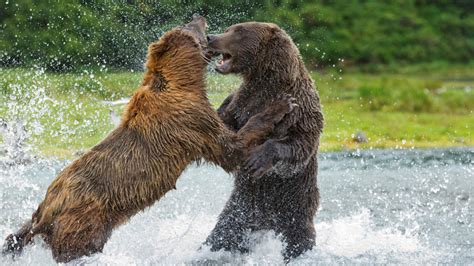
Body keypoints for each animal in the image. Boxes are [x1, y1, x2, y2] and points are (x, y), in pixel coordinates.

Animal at [2, 16, 292, 264]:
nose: (198, 16)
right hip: (82, 222)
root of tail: (46, 211)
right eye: (190, 26)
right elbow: (230, 149)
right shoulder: (191, 121)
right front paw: (281, 105)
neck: (182, 82)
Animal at [206, 21, 324, 262]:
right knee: (222, 236)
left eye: (238, 32)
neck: (267, 82)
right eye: (229, 29)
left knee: (299, 242)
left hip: (295, 212)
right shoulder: (241, 104)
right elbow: (227, 135)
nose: (210, 37)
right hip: (240, 211)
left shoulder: (303, 111)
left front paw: (258, 159)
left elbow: (299, 146)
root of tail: (267, 224)